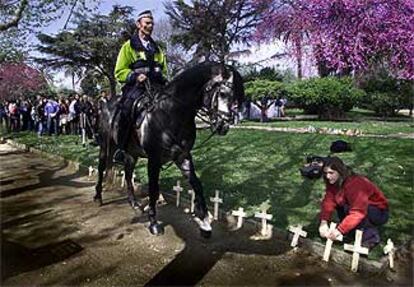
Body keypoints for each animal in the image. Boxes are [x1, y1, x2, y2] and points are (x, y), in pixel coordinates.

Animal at [92, 61, 244, 238]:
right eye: (223, 93)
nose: (223, 125)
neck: (170, 114)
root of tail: (106, 104)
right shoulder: (154, 160)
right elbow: (153, 188)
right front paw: (153, 222)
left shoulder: (182, 156)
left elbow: (196, 184)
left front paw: (204, 222)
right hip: (106, 146)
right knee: (101, 167)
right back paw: (98, 197)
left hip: (132, 154)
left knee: (128, 174)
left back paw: (135, 203)